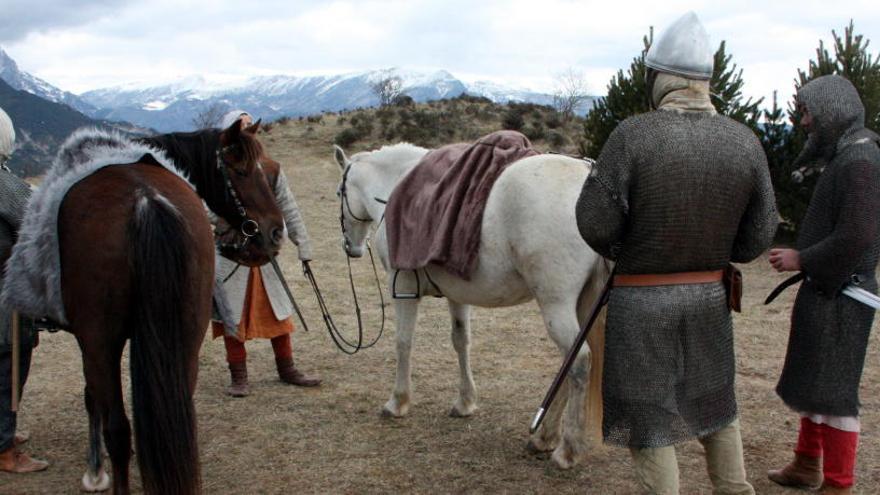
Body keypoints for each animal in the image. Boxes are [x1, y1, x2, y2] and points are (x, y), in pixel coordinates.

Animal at [58, 121, 284, 495]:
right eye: (241, 171)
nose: (276, 232)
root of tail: (145, 200)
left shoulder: (87, 340)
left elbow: (92, 397)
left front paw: (95, 471)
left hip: (101, 341)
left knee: (118, 430)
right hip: (186, 334)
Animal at [334, 143, 608, 468]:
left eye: (339, 193)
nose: (351, 248)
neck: (400, 189)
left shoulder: (402, 289)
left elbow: (403, 343)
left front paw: (397, 401)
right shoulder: (457, 295)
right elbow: (461, 341)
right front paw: (465, 401)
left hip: (557, 306)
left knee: (578, 362)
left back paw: (566, 450)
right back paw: (544, 438)